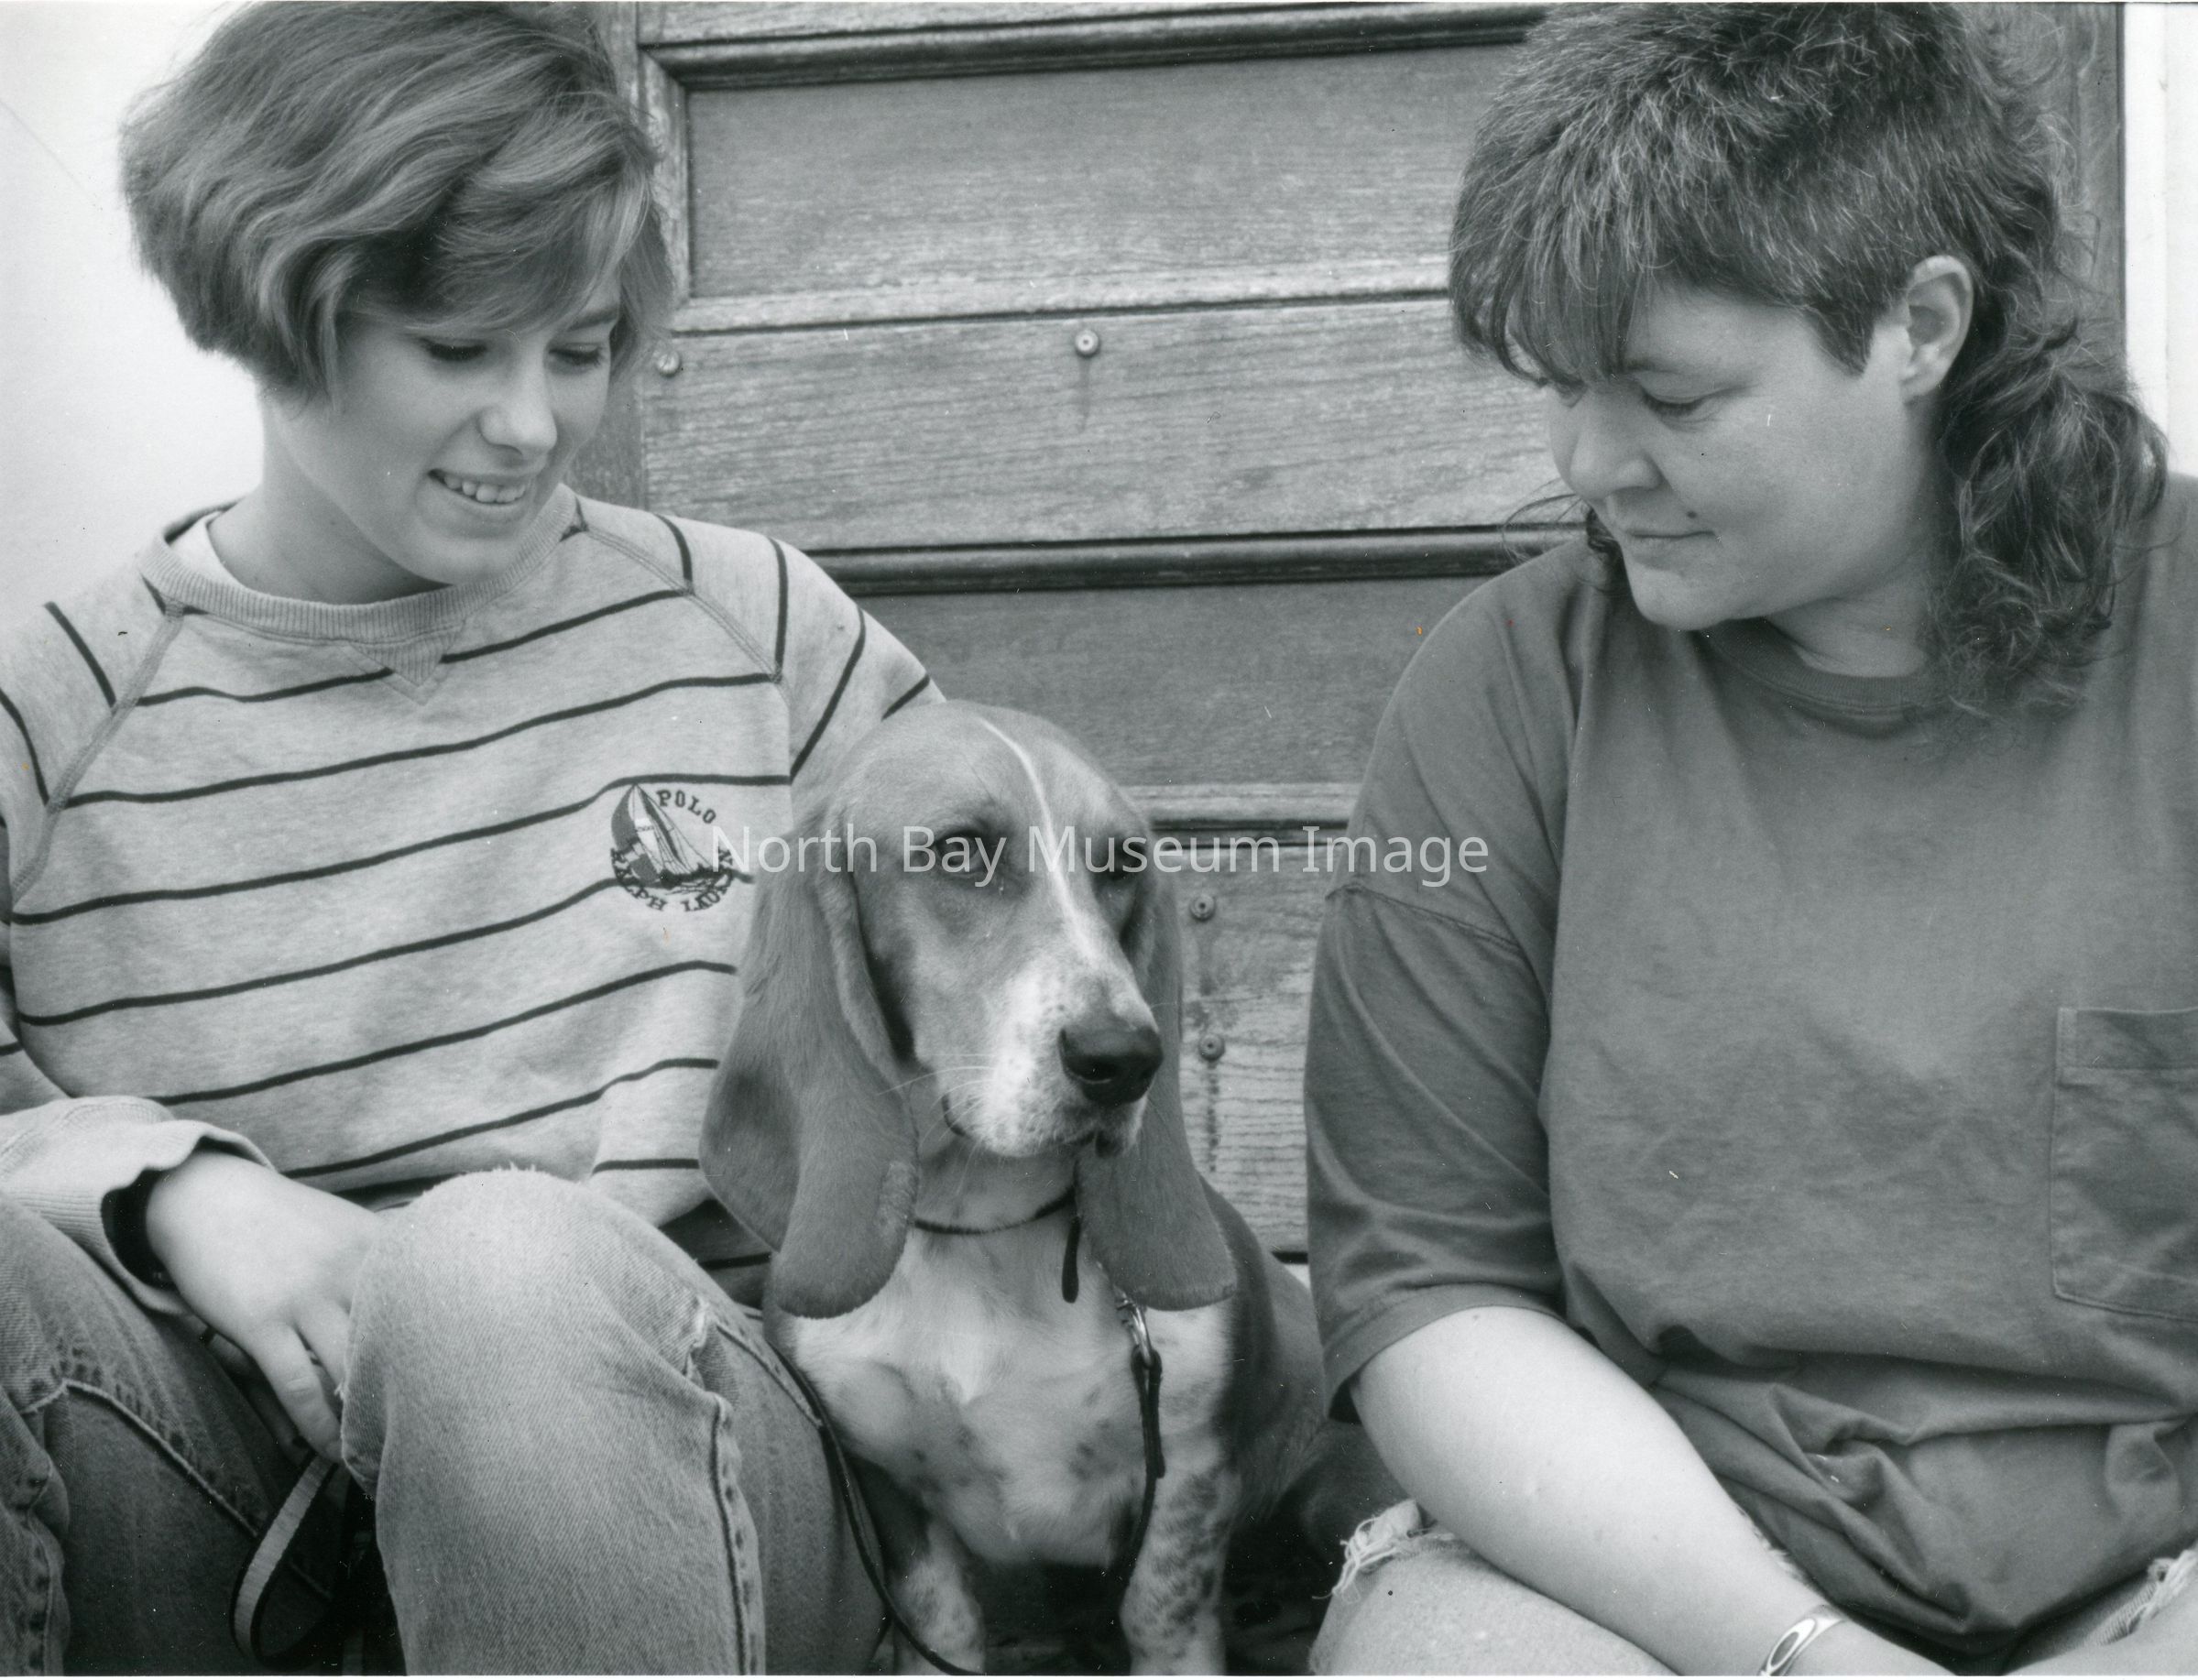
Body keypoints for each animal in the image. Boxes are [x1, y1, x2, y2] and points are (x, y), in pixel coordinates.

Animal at [699, 700, 1330, 1673]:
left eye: (1120, 866)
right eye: (960, 854)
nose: (1125, 1059)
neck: (980, 1226)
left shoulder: (1184, 1476)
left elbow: (1162, 1621)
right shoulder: (890, 1493)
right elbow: (942, 1627)